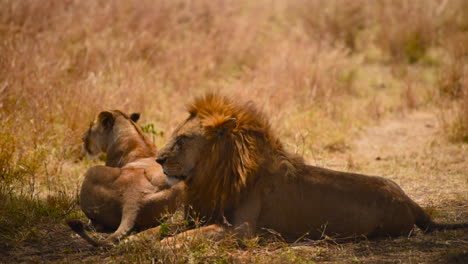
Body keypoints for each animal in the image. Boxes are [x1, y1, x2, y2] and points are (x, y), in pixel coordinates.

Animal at [149, 94, 464, 242]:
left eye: (182, 139)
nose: (158, 160)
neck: (212, 175)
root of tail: (409, 200)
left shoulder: (242, 230)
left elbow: (182, 238)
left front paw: (162, 247)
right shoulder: (203, 215)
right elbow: (161, 229)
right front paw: (139, 242)